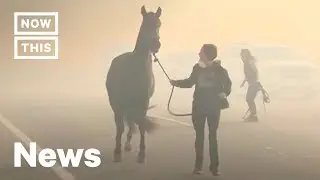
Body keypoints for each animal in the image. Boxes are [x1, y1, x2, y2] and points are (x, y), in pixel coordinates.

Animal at [105, 5, 162, 163]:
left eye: (159, 24)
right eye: (145, 24)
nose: (156, 45)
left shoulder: (144, 102)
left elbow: (141, 125)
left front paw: (142, 154)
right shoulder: (118, 103)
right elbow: (120, 127)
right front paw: (117, 152)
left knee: (131, 121)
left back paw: (128, 143)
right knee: (124, 122)